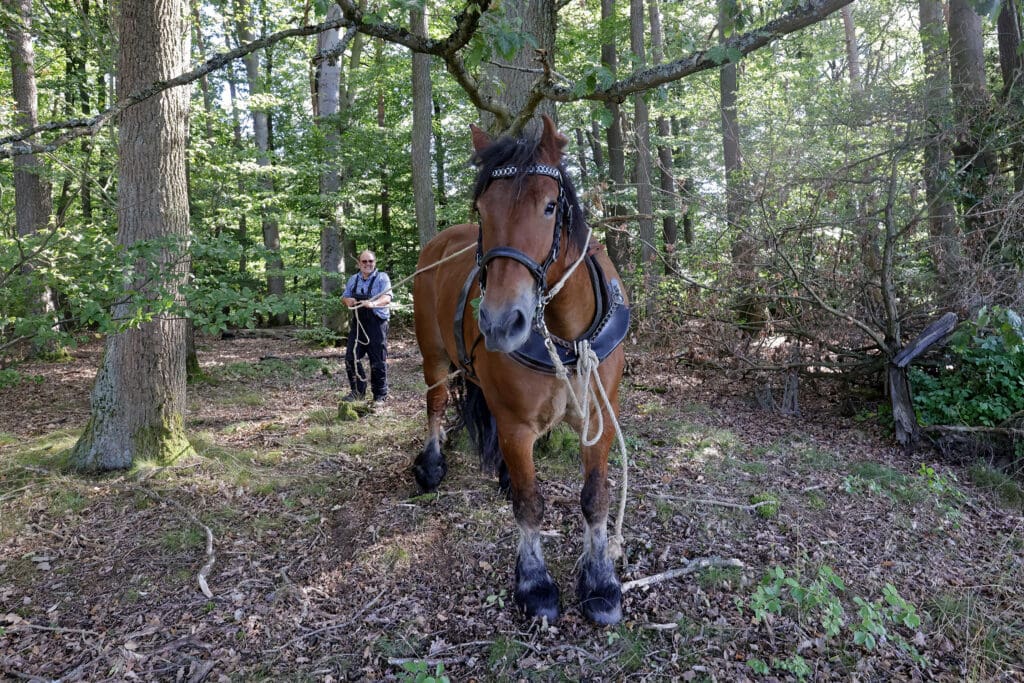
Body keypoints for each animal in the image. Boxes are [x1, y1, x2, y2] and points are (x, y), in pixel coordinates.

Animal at [411, 115, 631, 625]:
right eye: (482, 209)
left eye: (549, 207)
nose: (498, 322)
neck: (566, 336)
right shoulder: (514, 425)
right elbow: (530, 505)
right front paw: (535, 583)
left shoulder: (600, 418)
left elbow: (595, 497)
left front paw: (600, 580)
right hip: (433, 352)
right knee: (435, 400)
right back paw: (431, 463)